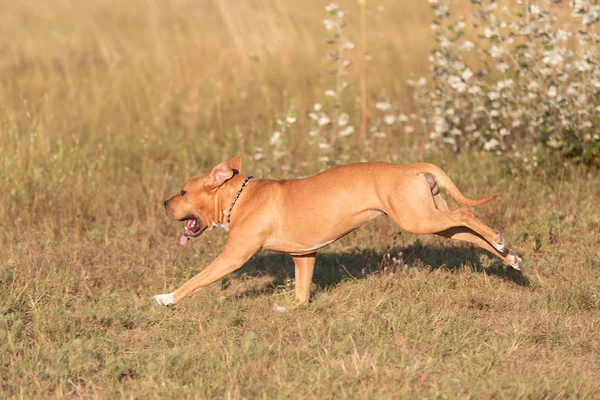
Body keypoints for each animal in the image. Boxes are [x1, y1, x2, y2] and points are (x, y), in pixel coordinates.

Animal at [155, 156, 520, 306]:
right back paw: (510, 256)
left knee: (467, 213)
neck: (239, 196)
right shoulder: (304, 255)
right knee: (470, 231)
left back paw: (502, 244)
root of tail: (409, 168)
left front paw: (166, 298)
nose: (164, 202)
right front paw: (291, 310)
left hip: (418, 219)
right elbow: (301, 295)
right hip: (431, 219)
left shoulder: (233, 256)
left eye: (184, 192)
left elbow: (197, 280)